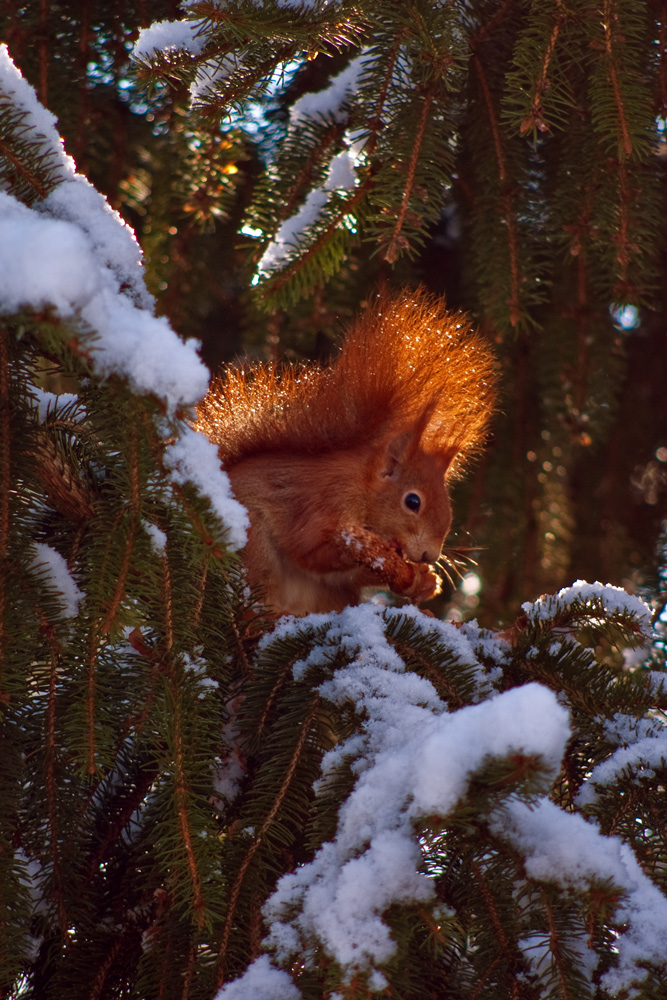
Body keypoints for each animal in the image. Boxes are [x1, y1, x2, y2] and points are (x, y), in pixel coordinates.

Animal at [198, 290, 496, 616]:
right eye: (413, 502)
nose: (430, 555)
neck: (363, 488)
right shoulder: (324, 500)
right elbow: (309, 550)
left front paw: (424, 580)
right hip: (252, 546)